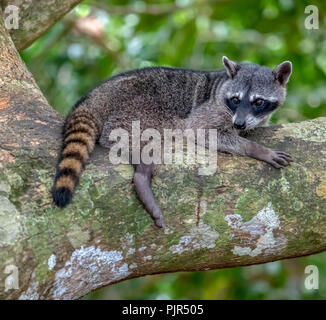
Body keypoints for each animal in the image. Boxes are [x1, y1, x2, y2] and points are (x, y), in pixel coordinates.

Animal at [52, 57, 292, 228]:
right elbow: (201, 130)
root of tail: (94, 97)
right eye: (235, 99)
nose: (239, 124)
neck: (222, 84)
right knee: (146, 141)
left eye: (258, 102)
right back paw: (142, 174)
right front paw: (257, 149)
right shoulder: (211, 109)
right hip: (136, 112)